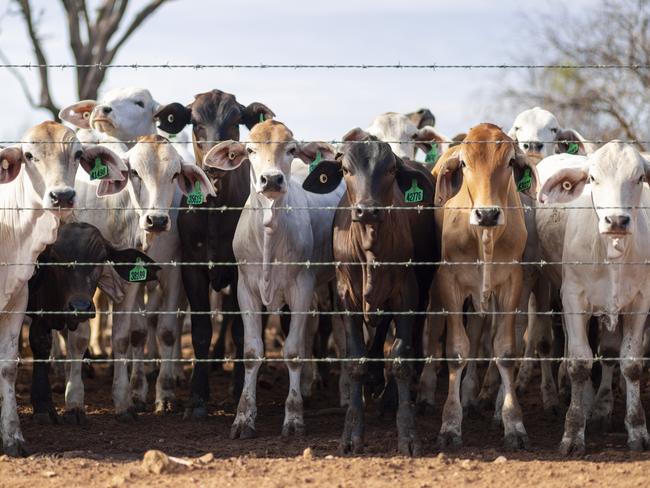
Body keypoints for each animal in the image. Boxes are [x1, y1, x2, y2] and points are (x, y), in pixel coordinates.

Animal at [0, 121, 124, 454]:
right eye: (29, 155)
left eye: (78, 154)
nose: (62, 196)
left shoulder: (18, 299)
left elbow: (8, 367)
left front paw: (12, 437)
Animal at [202, 120, 344, 436]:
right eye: (250, 151)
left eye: (291, 149)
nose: (272, 180)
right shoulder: (245, 290)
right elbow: (252, 351)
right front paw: (243, 417)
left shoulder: (301, 288)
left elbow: (292, 352)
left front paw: (293, 417)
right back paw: (307, 385)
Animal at [302, 139, 436, 456]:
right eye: (346, 170)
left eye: (390, 170)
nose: (367, 211)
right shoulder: (346, 296)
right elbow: (355, 360)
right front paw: (352, 434)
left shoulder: (407, 292)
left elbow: (400, 357)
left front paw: (408, 434)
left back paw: (389, 398)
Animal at [430, 123, 536, 450]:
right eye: (464, 164)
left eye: (510, 162)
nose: (487, 214)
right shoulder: (449, 282)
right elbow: (456, 351)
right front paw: (450, 424)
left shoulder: (512, 282)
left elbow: (505, 350)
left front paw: (514, 423)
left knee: (480, 334)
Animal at [536, 143, 648, 456]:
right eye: (594, 178)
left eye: (639, 177)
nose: (617, 221)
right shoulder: (573, 299)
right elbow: (579, 364)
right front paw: (573, 432)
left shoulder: (639, 301)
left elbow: (631, 363)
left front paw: (637, 429)